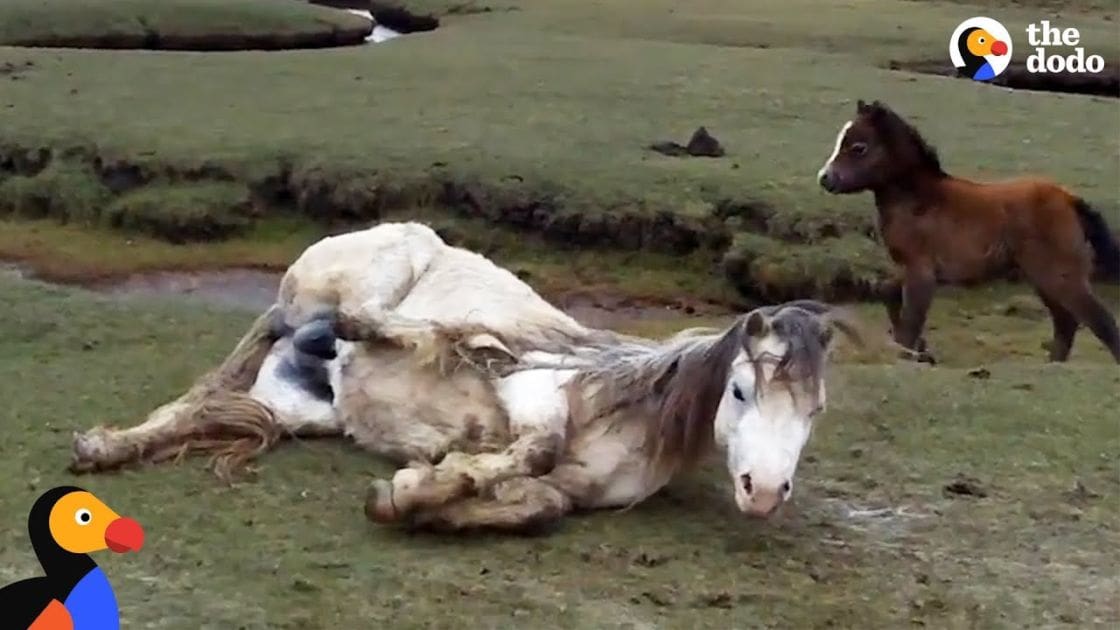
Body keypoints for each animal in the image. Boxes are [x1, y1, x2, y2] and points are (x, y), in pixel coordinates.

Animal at [69, 222, 861, 533]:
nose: (764, 493)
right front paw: (419, 484)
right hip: (330, 290)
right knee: (350, 319)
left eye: (816, 411)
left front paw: (421, 497)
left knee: (207, 403)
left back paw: (106, 448)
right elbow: (533, 441)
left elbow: (533, 506)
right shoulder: (532, 395)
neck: (627, 412)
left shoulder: (564, 494)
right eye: (741, 390)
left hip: (299, 405)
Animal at [816, 99, 1120, 364]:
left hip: (1060, 276)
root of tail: (1070, 199)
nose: (825, 179)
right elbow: (889, 296)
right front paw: (922, 351)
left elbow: (911, 320)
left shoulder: (921, 271)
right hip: (1043, 278)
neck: (918, 200)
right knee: (1066, 322)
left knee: (1099, 320)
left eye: (858, 147)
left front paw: (910, 355)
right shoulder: (905, 268)